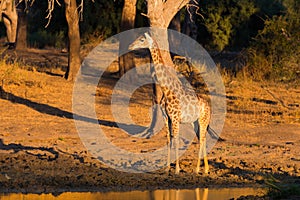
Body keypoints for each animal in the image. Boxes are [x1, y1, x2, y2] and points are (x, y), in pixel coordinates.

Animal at [129, 32, 211, 173]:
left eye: (142, 39)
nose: (130, 46)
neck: (166, 91)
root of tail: (209, 107)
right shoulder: (166, 117)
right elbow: (168, 140)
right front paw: (167, 168)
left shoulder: (175, 118)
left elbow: (176, 141)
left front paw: (177, 169)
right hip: (195, 122)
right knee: (203, 139)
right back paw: (205, 169)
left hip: (203, 120)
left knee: (202, 140)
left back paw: (197, 169)